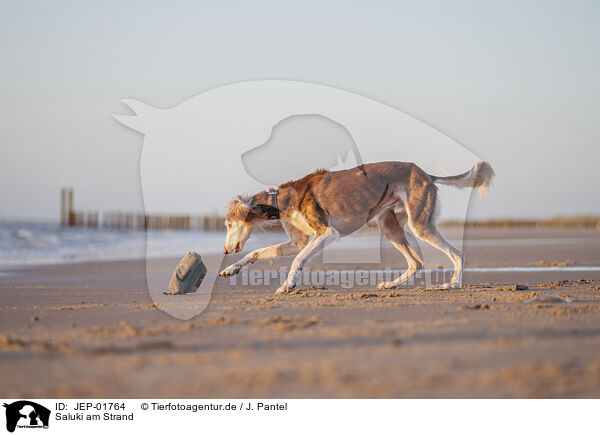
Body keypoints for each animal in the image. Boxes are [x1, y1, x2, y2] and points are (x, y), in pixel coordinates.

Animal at [218, 162, 494, 294]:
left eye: (229, 224)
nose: (225, 250)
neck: (283, 199)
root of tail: (426, 174)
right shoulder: (299, 241)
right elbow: (255, 253)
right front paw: (231, 269)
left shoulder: (327, 233)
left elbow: (298, 259)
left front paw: (288, 286)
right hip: (390, 226)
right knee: (416, 262)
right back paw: (391, 285)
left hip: (419, 224)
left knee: (458, 254)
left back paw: (452, 285)